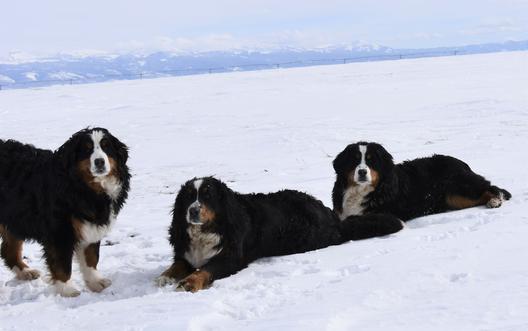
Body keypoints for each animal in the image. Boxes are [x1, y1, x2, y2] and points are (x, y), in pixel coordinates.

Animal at [0, 127, 131, 298]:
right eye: (87, 149)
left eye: (106, 147)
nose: (99, 161)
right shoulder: (59, 230)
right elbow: (62, 264)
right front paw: (67, 289)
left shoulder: (90, 224)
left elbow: (91, 257)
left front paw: (95, 282)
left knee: (8, 249)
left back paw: (25, 272)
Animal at [332, 141, 510, 222]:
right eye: (354, 161)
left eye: (371, 161)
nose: (362, 172)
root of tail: (461, 163)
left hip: (459, 190)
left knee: (491, 188)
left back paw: (495, 201)